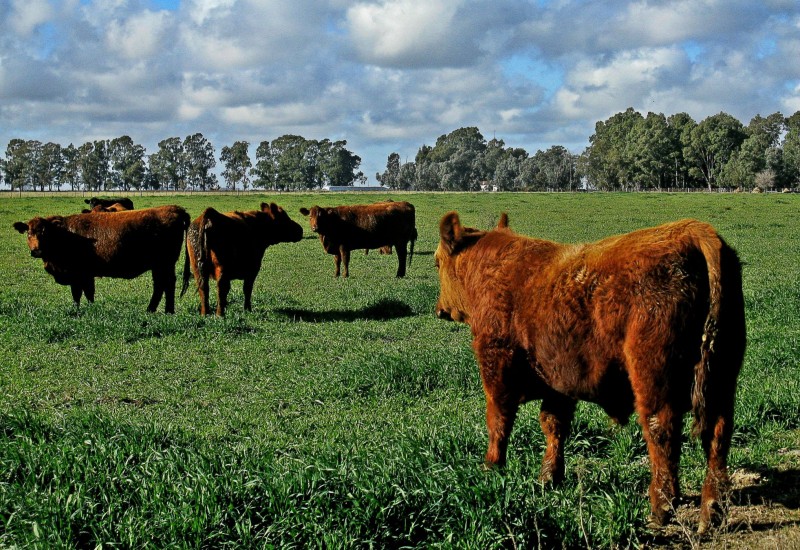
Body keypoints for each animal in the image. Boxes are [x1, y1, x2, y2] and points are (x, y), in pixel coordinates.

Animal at [16, 206, 192, 314]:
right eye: (29, 233)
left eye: (44, 232)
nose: (36, 250)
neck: (65, 234)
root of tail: (174, 208)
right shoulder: (85, 275)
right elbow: (87, 293)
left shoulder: (78, 274)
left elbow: (79, 294)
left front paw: (79, 311)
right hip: (160, 266)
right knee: (161, 285)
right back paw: (156, 310)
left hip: (164, 264)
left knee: (166, 284)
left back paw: (165, 311)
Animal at [434, 215, 748, 536]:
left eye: (436, 263)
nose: (440, 310)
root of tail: (692, 231)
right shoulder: (558, 384)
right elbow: (553, 425)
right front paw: (549, 476)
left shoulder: (496, 366)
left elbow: (498, 421)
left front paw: (492, 466)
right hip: (721, 382)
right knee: (717, 436)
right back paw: (711, 512)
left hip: (654, 381)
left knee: (662, 433)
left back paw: (661, 507)